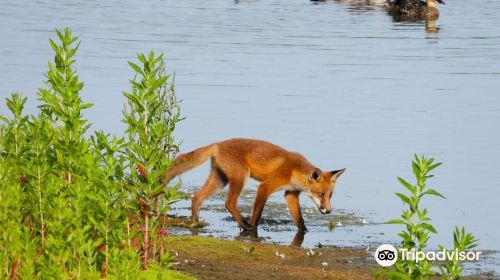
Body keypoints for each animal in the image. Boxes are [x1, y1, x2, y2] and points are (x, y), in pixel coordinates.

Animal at [166, 138, 346, 232]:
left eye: (330, 195)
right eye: (320, 194)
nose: (328, 210)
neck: (294, 171)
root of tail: (217, 144)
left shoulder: (290, 194)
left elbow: (299, 220)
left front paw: (305, 232)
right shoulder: (265, 186)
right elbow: (257, 214)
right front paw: (253, 226)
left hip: (220, 181)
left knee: (197, 198)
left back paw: (194, 222)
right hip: (240, 178)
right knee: (229, 203)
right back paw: (245, 226)